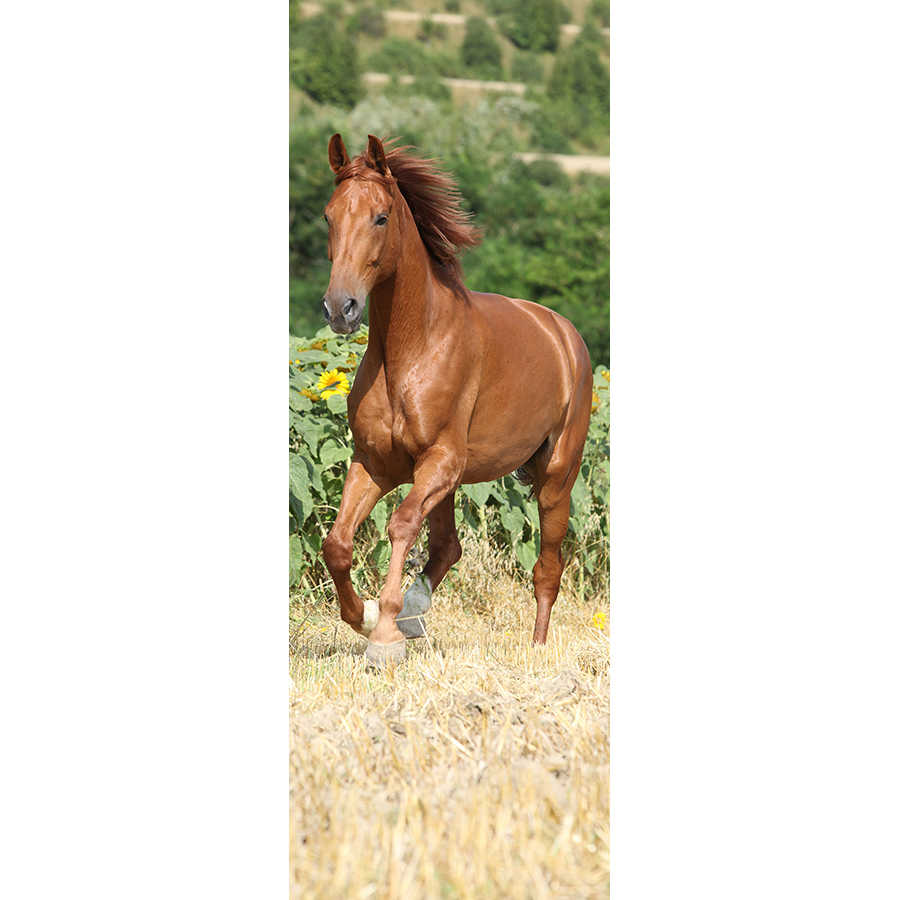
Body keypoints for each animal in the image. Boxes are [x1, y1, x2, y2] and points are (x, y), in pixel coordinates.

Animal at [320, 133, 593, 669]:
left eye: (381, 216)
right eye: (328, 216)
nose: (341, 309)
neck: (412, 348)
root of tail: (563, 332)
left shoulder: (441, 459)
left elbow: (401, 525)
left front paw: (385, 635)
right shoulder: (375, 463)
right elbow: (337, 543)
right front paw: (367, 617)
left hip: (554, 479)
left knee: (547, 566)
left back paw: (536, 648)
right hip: (448, 480)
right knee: (448, 546)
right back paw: (416, 611)